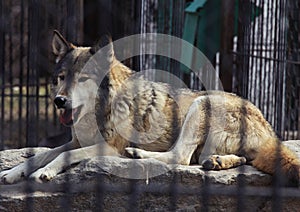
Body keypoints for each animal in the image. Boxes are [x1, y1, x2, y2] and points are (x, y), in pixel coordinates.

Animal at [0, 30, 298, 186]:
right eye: (62, 78)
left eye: (82, 79)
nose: (59, 101)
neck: (102, 110)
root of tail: (270, 129)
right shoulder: (75, 141)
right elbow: (44, 153)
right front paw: (13, 172)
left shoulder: (108, 147)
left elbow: (60, 156)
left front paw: (43, 173)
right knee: (220, 160)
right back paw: (215, 162)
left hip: (200, 104)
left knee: (180, 157)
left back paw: (136, 154)